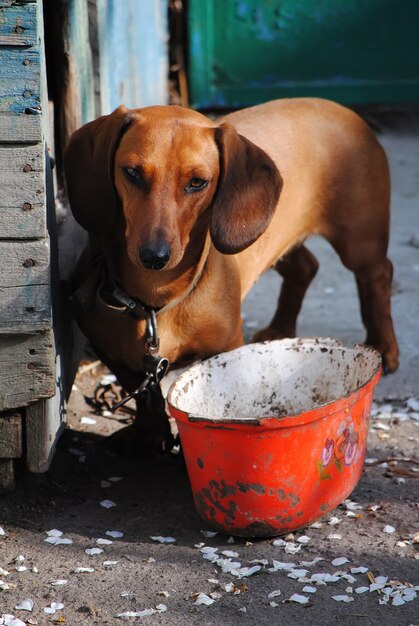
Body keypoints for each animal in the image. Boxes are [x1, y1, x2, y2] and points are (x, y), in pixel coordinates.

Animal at [65, 95, 400, 450]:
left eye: (197, 182)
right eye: (132, 173)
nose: (154, 256)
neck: (157, 301)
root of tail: (341, 108)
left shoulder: (225, 351)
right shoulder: (113, 352)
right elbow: (146, 397)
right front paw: (149, 436)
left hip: (360, 242)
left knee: (378, 275)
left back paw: (384, 345)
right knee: (307, 267)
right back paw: (279, 329)